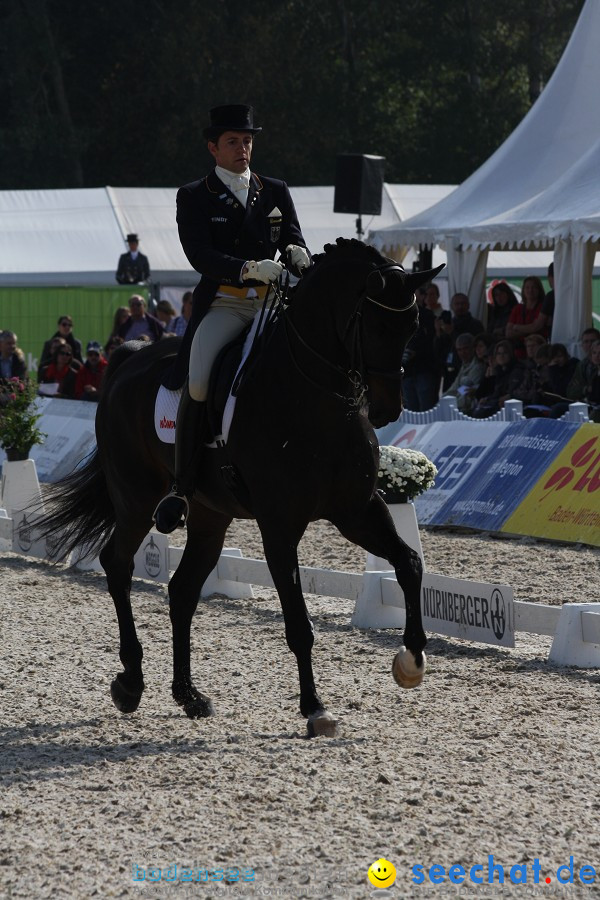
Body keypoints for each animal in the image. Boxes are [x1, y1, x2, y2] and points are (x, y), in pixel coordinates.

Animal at [43, 241, 440, 740]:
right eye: (375, 323)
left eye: (414, 326)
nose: (389, 408)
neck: (316, 398)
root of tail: (128, 358)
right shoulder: (280, 526)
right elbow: (299, 624)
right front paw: (315, 708)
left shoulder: (357, 510)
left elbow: (408, 564)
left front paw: (411, 660)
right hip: (135, 498)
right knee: (118, 564)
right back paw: (131, 683)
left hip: (210, 514)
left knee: (182, 591)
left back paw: (189, 696)